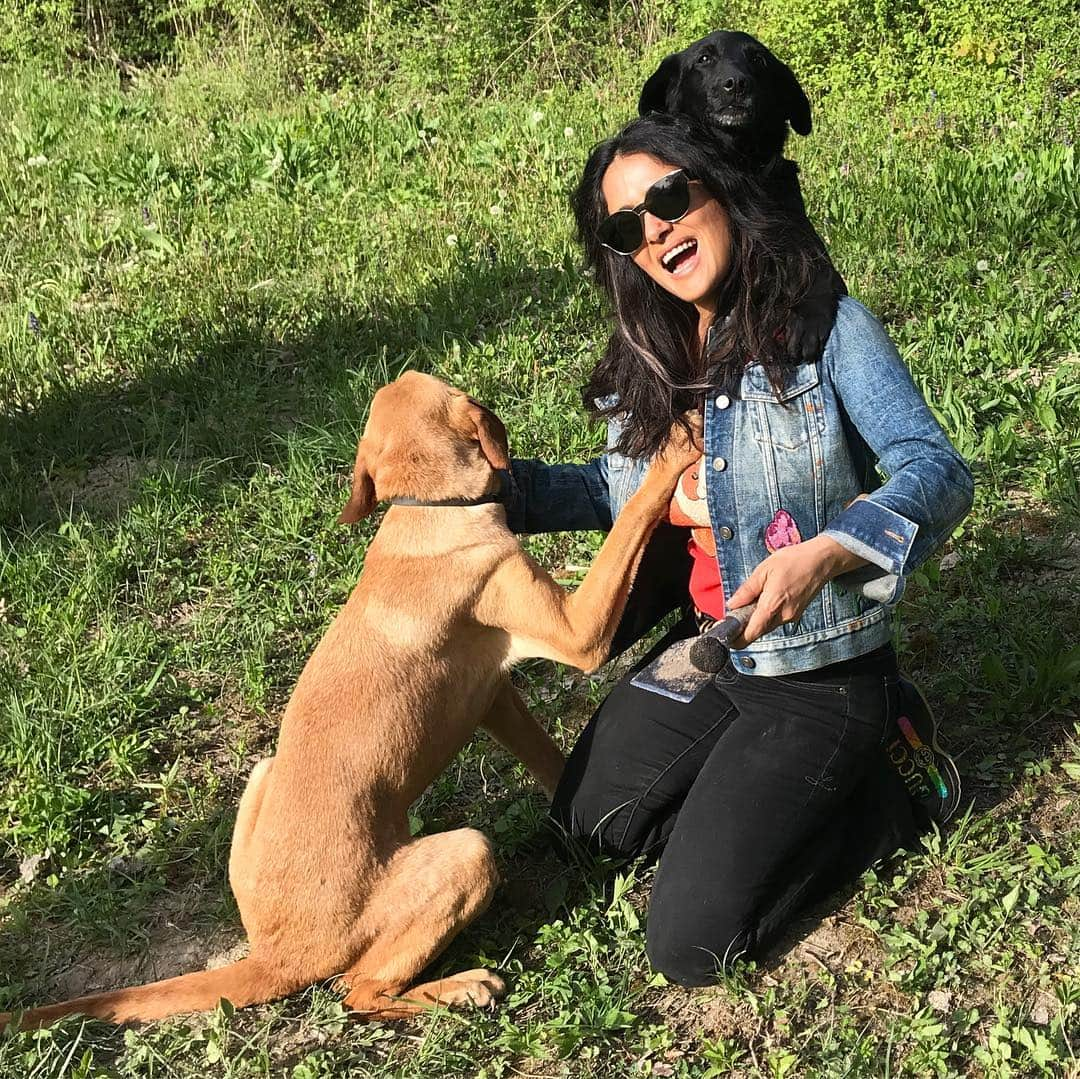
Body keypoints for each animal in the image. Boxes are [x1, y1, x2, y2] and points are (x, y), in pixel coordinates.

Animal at [4, 371, 695, 1028]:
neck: (428, 511)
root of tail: (277, 956)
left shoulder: (493, 695)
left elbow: (557, 767)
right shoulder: (579, 634)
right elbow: (631, 519)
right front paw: (677, 449)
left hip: (264, 772)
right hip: (466, 853)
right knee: (358, 992)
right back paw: (459, 988)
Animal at [635, 29, 846, 365]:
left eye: (758, 59)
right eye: (704, 58)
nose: (735, 83)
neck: (738, 163)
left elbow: (817, 266)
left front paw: (807, 314)